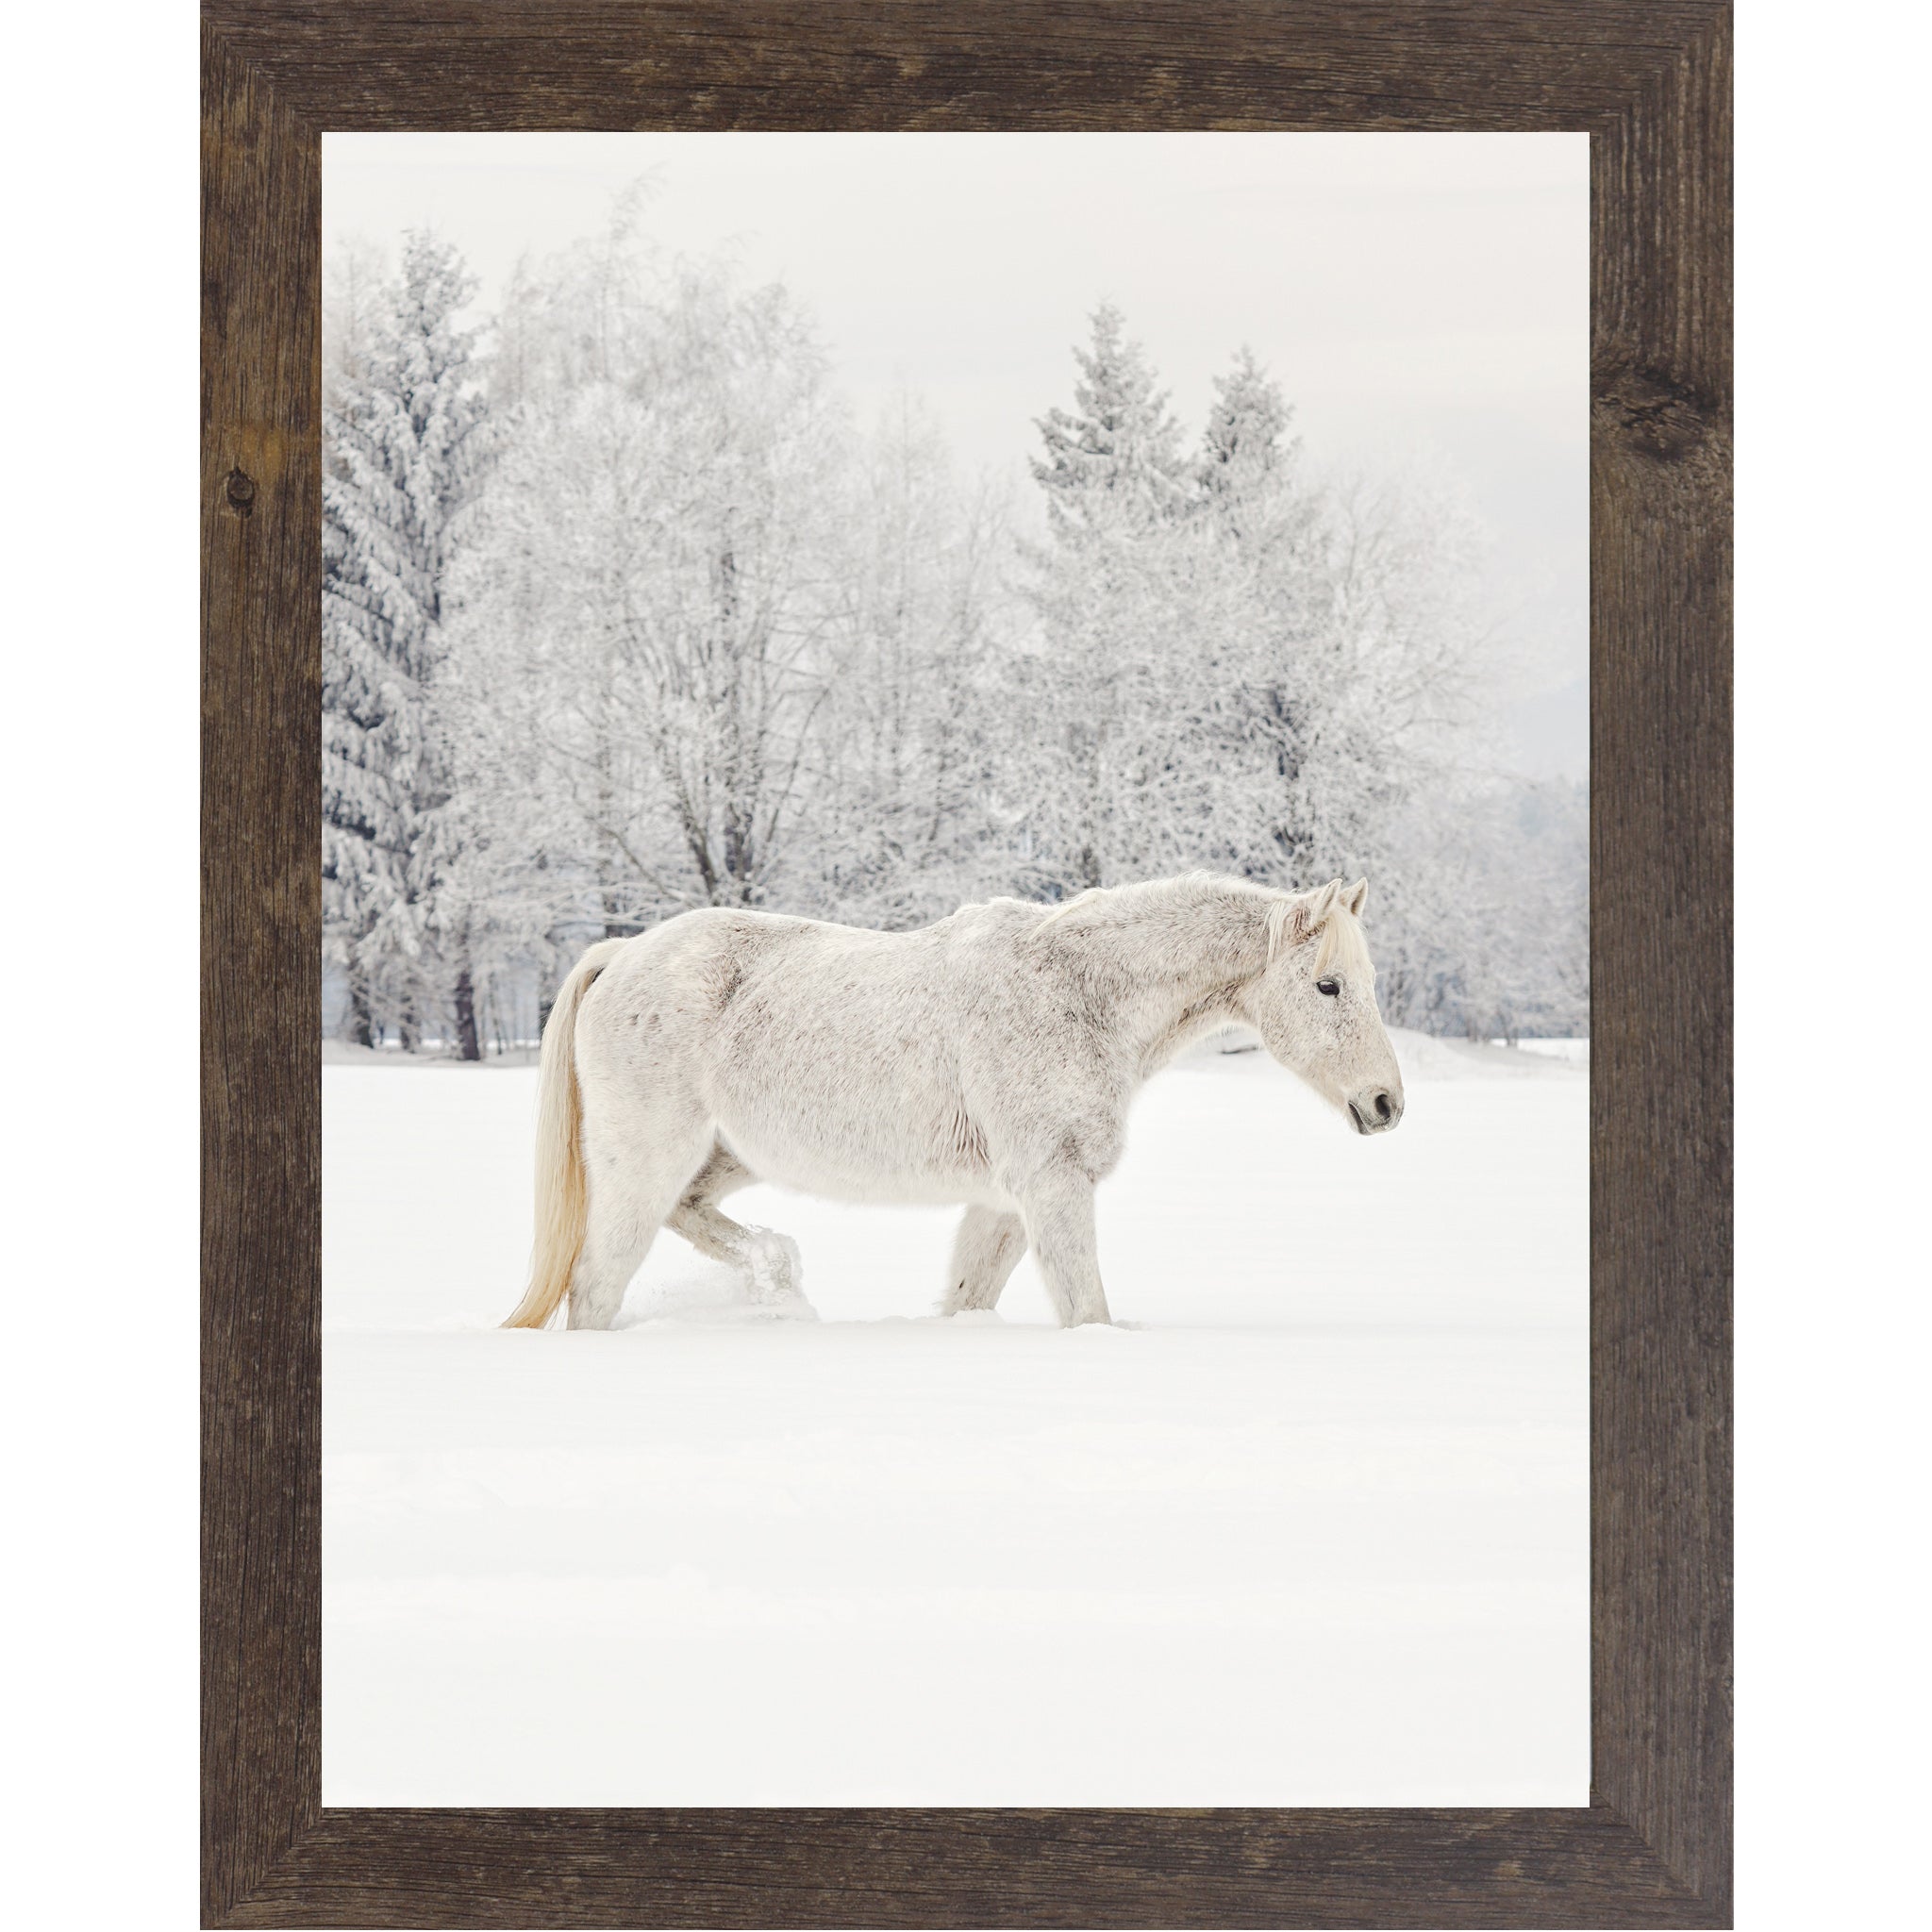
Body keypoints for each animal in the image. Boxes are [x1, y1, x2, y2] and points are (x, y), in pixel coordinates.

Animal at [501, 871, 1405, 1332]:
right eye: (1327, 985)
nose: (1386, 1103)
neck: (1077, 994)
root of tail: (622, 954)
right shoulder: (1051, 1187)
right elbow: (1088, 1310)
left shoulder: (1003, 1203)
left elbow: (970, 1298)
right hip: (644, 1164)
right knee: (595, 1285)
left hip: (723, 1157)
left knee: (690, 1218)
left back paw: (778, 1277)